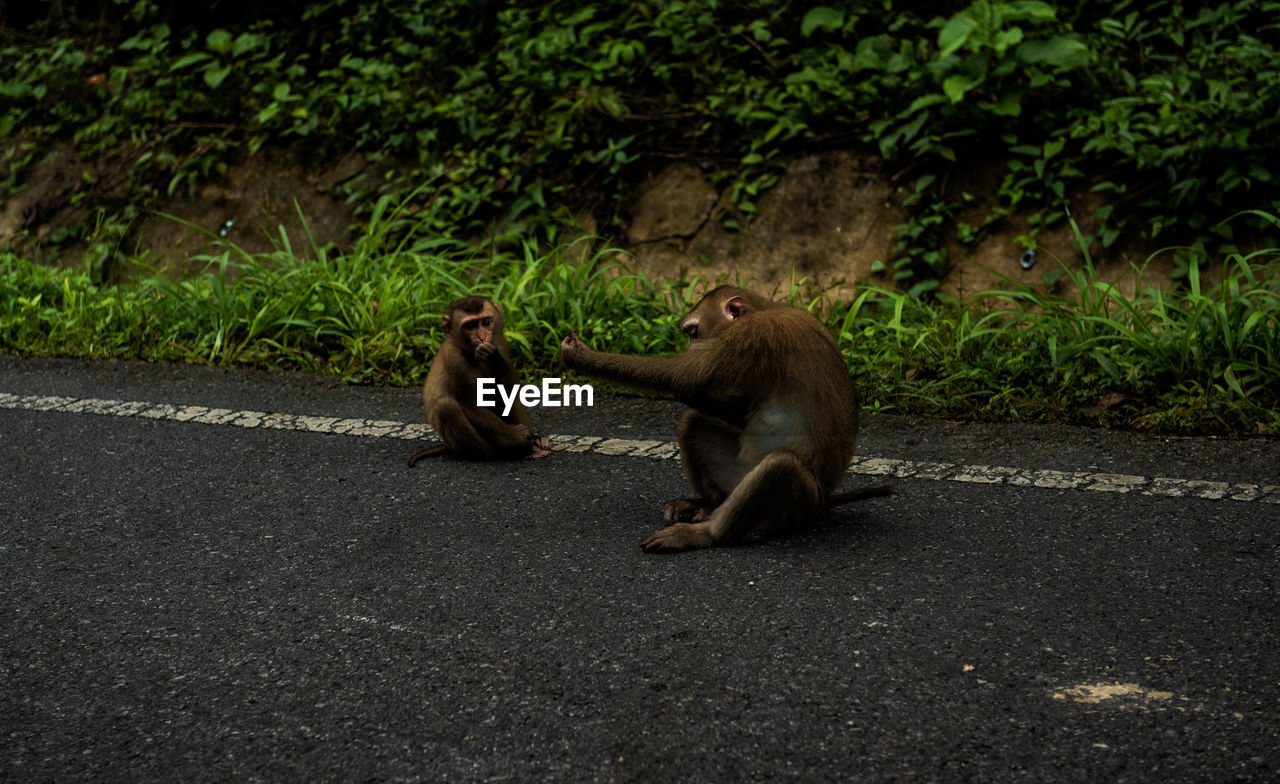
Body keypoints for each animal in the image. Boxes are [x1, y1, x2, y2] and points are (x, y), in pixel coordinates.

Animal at [409, 295, 550, 466]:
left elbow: (509, 388)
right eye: (470, 326)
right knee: (445, 406)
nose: (482, 338)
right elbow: (470, 405)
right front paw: (521, 441)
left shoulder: (500, 343)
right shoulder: (454, 359)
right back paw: (507, 451)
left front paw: (494, 359)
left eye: (486, 322)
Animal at [560, 283, 890, 550]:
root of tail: (823, 504)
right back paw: (706, 503)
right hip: (735, 476)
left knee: (780, 465)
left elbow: (682, 375)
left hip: (800, 506)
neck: (768, 309)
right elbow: (735, 410)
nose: (691, 346)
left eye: (694, 332)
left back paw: (705, 535)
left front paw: (582, 356)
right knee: (691, 422)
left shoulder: (753, 335)